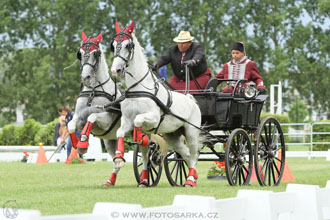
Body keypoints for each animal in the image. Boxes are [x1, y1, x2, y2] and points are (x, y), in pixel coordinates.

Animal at [67, 31, 122, 186]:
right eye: (80, 53)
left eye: (95, 53)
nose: (86, 77)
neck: (93, 91)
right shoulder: (79, 118)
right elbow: (70, 125)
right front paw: (78, 145)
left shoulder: (106, 121)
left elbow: (92, 117)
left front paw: (83, 141)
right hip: (111, 140)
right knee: (117, 162)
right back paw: (109, 181)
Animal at [111, 20, 201, 186]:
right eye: (113, 45)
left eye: (128, 45)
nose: (116, 70)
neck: (138, 88)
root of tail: (190, 99)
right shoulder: (126, 120)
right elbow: (121, 132)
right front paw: (119, 158)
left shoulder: (153, 117)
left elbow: (138, 120)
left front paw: (139, 137)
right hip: (172, 136)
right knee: (184, 154)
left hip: (191, 132)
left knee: (193, 154)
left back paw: (190, 179)